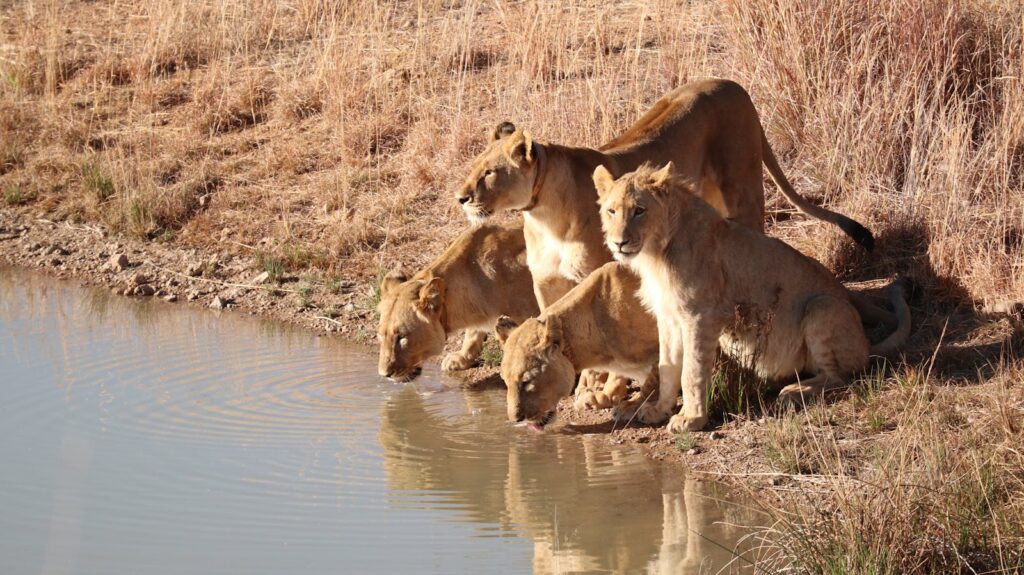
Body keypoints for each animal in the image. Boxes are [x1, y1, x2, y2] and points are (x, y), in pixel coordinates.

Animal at [456, 79, 873, 311]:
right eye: (473, 168)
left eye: (490, 173)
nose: (461, 198)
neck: (544, 216)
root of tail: (731, 82)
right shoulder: (546, 281)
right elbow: (548, 322)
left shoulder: (601, 270)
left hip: (743, 186)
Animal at [594, 162, 910, 432]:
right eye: (612, 211)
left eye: (639, 210)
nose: (619, 242)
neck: (655, 252)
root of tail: (866, 345)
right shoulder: (669, 317)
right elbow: (668, 367)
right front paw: (658, 411)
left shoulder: (702, 316)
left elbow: (691, 371)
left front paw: (692, 419)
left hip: (822, 306)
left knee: (841, 376)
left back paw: (794, 391)